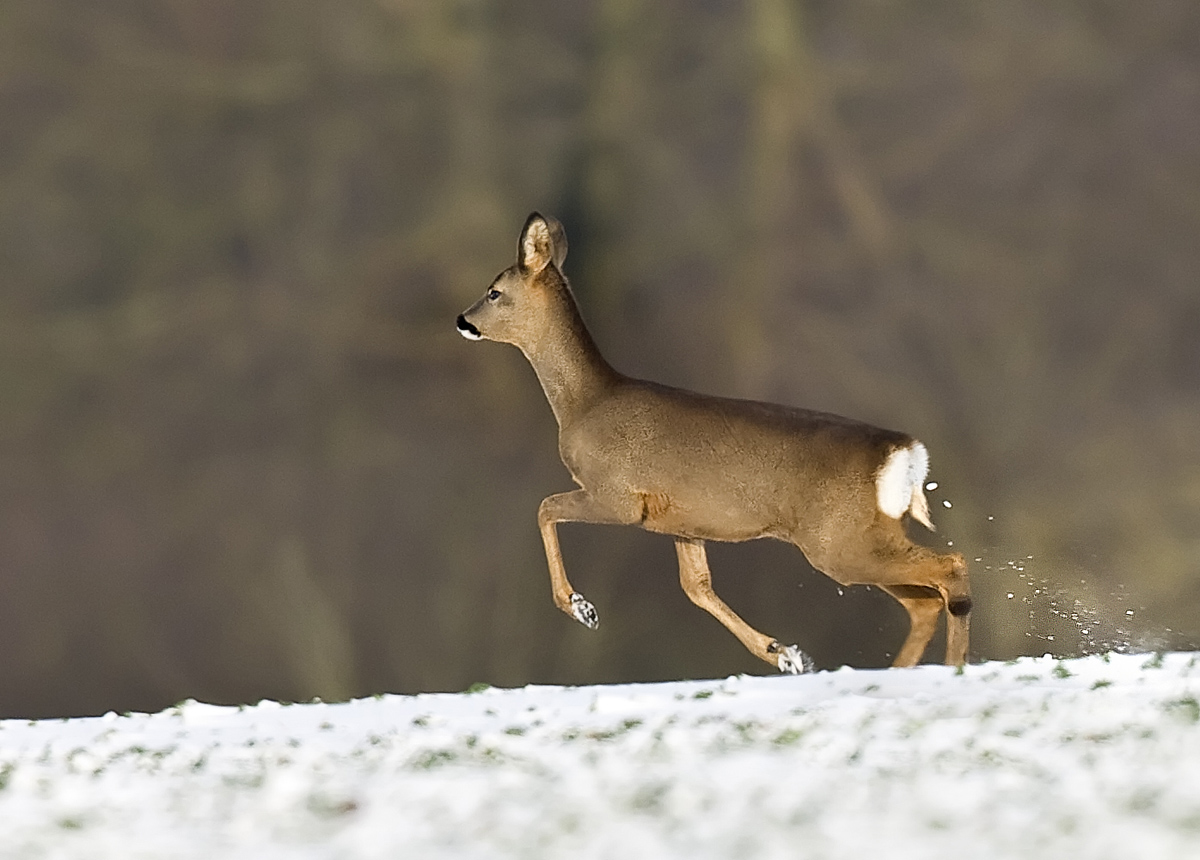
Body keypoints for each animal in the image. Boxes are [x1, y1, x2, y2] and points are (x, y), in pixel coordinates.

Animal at [456, 213, 971, 673]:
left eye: (494, 291)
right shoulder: (682, 522)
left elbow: (544, 507)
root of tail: (906, 453)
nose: (462, 320)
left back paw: (954, 666)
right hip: (861, 537)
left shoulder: (619, 496)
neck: (585, 403)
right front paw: (785, 654)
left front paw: (581, 607)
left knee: (951, 567)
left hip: (839, 542)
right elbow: (697, 587)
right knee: (925, 601)